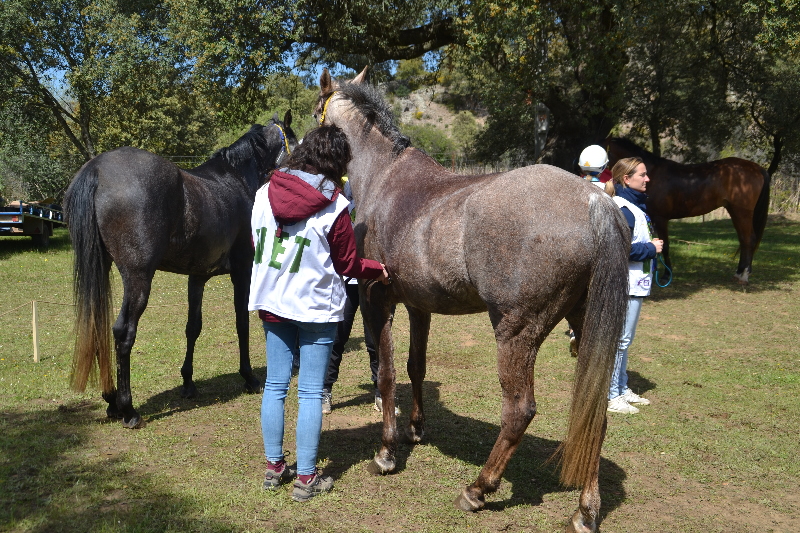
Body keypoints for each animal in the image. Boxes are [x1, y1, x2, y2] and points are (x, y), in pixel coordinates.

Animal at [64, 112, 296, 428]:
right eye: (296, 140)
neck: (235, 178)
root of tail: (97, 168)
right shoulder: (242, 272)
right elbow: (241, 323)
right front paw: (248, 377)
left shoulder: (197, 277)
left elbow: (193, 327)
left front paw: (188, 383)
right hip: (138, 279)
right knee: (123, 332)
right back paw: (128, 409)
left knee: (99, 329)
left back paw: (111, 401)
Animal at [316, 67, 636, 532]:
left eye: (313, 111)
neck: (385, 178)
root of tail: (594, 199)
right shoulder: (419, 306)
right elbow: (415, 366)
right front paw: (415, 429)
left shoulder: (379, 303)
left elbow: (387, 375)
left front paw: (387, 451)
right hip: (584, 326)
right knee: (596, 415)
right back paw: (586, 509)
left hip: (515, 333)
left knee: (519, 411)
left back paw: (477, 489)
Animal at [608, 139, 768, 284]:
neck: (652, 174)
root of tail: (757, 168)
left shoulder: (660, 218)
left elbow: (665, 246)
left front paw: (666, 275)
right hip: (734, 211)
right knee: (743, 239)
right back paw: (739, 273)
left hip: (742, 212)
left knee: (748, 239)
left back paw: (743, 275)